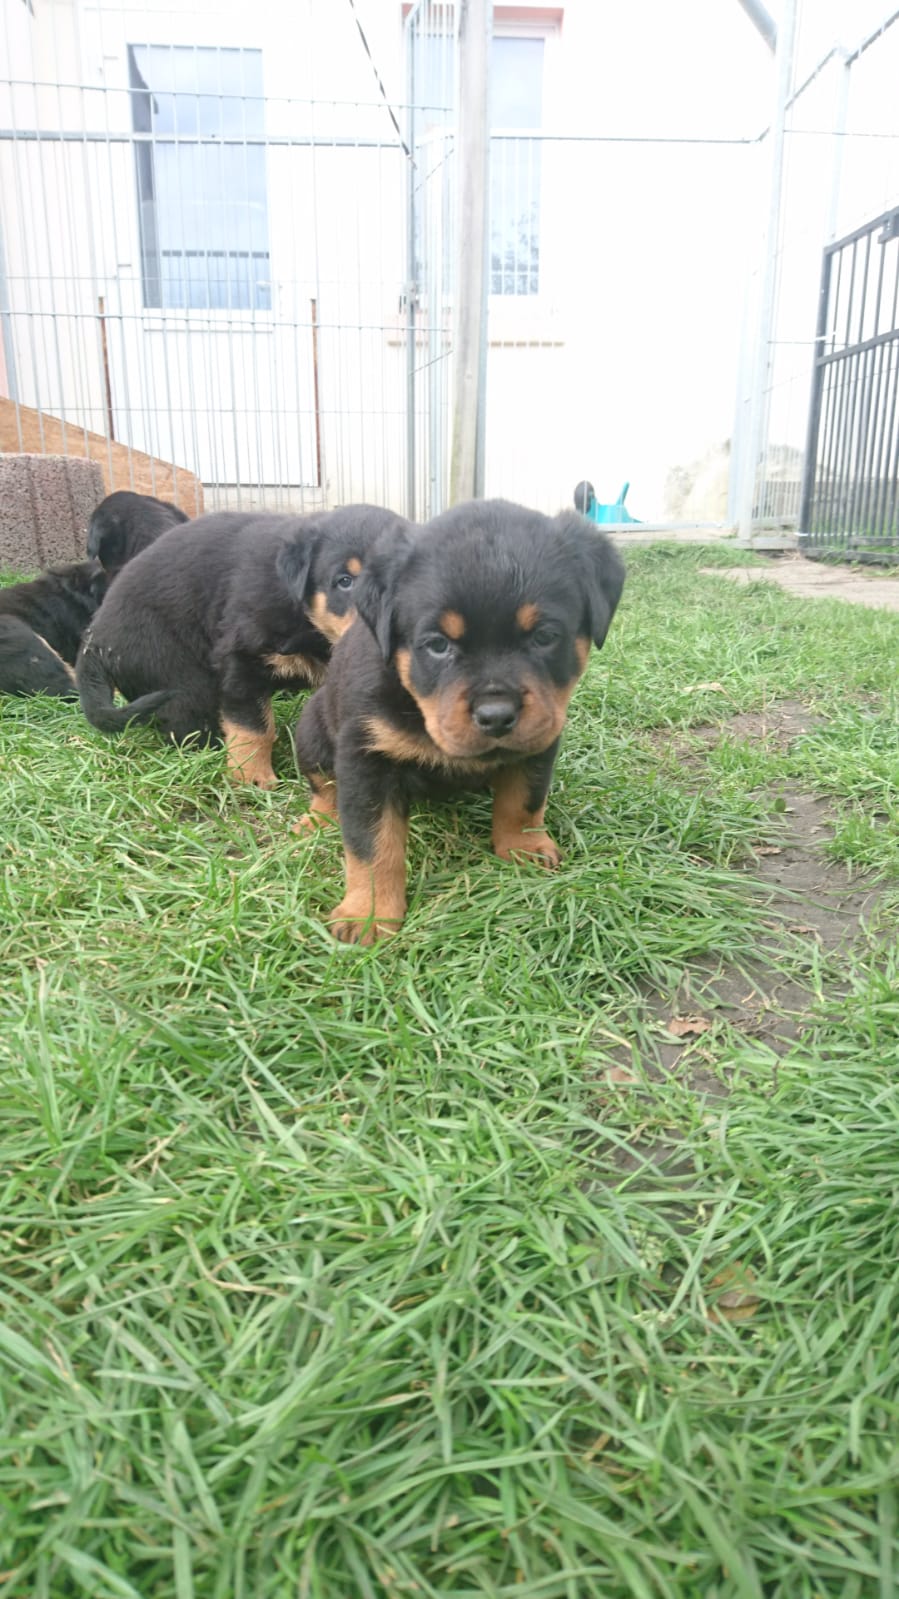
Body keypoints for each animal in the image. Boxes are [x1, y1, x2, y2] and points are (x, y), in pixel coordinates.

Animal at [76, 505, 410, 787]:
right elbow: (253, 728)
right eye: (344, 581)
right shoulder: (243, 659)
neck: (307, 620)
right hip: (177, 672)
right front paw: (253, 778)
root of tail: (94, 639)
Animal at [293, 498, 625, 942]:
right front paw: (369, 914)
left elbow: (524, 800)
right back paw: (317, 819)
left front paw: (523, 848)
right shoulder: (366, 757)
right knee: (324, 785)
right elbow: (372, 842)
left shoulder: (541, 740)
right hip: (312, 729)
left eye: (544, 637)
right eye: (437, 645)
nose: (496, 716)